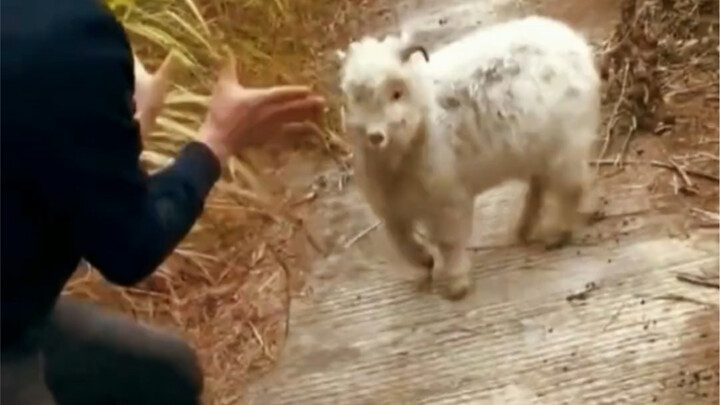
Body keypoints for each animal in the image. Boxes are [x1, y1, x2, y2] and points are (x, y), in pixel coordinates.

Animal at [336, 16, 601, 300]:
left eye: (397, 94)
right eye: (355, 97)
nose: (375, 136)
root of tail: (574, 42)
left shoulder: (448, 202)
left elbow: (449, 243)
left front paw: (457, 286)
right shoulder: (394, 210)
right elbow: (401, 242)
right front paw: (425, 261)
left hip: (564, 149)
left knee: (571, 189)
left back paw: (558, 235)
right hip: (539, 152)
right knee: (540, 186)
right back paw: (523, 229)